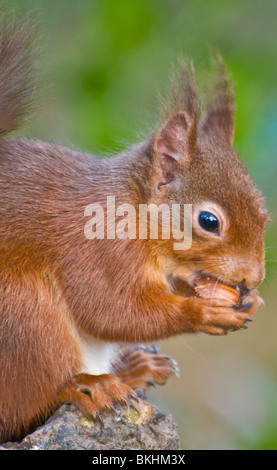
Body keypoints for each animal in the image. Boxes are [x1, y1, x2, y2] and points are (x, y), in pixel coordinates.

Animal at [0, 12, 268, 442]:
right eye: (209, 221)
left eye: (265, 214)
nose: (254, 277)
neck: (134, 212)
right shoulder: (95, 250)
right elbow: (111, 310)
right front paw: (203, 312)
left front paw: (247, 299)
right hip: (22, 312)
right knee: (28, 404)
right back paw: (87, 385)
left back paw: (134, 369)